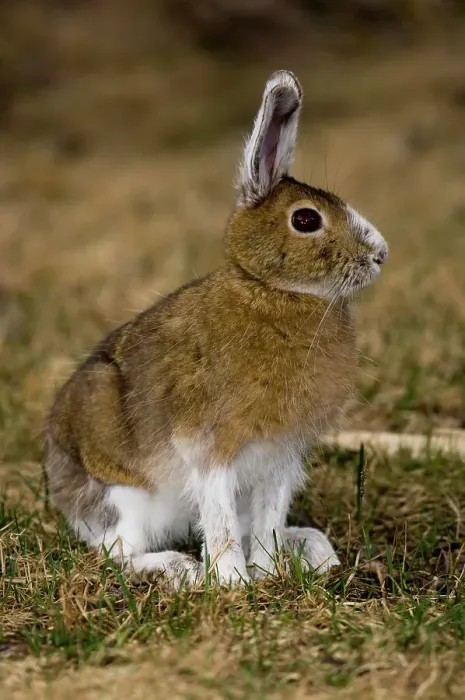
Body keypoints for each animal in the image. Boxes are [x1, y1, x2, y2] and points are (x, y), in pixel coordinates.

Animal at [45, 70, 388, 588]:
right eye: (306, 219)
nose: (381, 254)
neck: (273, 292)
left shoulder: (281, 454)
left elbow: (268, 516)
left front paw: (267, 570)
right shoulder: (209, 443)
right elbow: (220, 514)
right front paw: (232, 581)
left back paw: (309, 549)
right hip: (122, 497)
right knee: (119, 553)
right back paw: (180, 569)